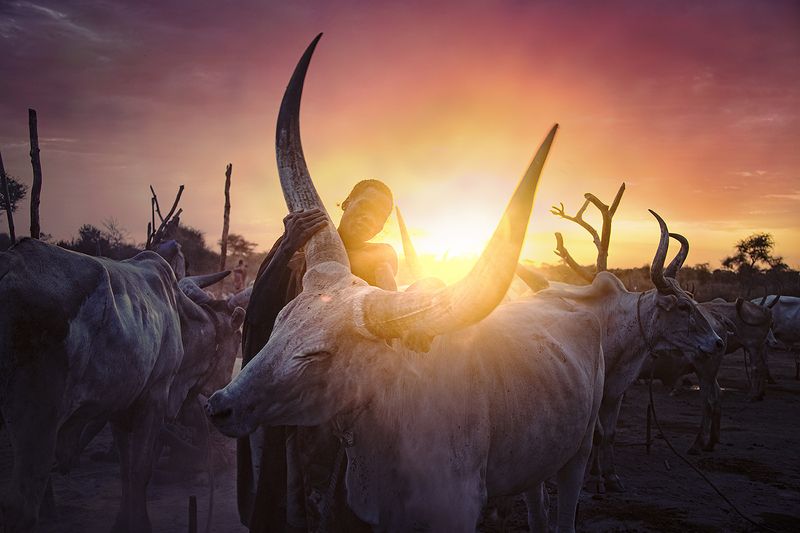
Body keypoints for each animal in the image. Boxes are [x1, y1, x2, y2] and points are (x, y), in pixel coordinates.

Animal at [0, 238, 245, 532]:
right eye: (237, 338)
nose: (224, 382)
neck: (179, 316)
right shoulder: (153, 399)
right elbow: (140, 471)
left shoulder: (120, 408)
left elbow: (126, 471)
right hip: (39, 419)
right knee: (20, 506)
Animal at [534, 226, 724, 491]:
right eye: (683, 307)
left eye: (694, 303)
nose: (718, 342)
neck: (614, 327)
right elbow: (598, 434)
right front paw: (595, 476)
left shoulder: (616, 393)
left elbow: (610, 434)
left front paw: (610, 476)